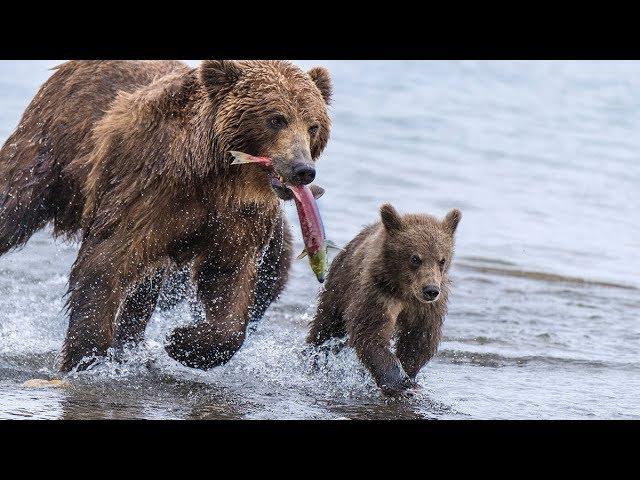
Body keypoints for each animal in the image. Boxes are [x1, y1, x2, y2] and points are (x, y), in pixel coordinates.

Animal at [0, 60, 330, 372]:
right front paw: (85, 358)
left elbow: (228, 279)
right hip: (48, 148)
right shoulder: (149, 189)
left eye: (313, 126)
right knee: (14, 204)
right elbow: (105, 263)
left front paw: (184, 341)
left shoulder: (235, 218)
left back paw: (130, 347)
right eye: (276, 119)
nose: (303, 169)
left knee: (145, 285)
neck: (219, 177)